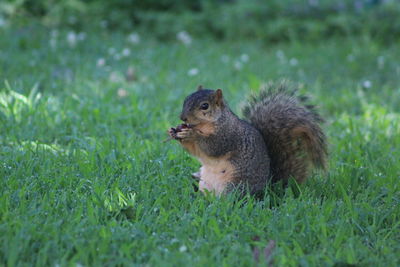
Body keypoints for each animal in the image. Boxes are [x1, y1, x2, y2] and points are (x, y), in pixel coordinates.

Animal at [167, 81, 326, 197]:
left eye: (204, 106)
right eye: (186, 100)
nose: (183, 118)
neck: (207, 124)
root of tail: (268, 188)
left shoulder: (228, 135)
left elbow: (213, 147)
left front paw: (191, 134)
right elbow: (196, 151)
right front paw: (174, 132)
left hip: (235, 185)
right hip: (204, 183)